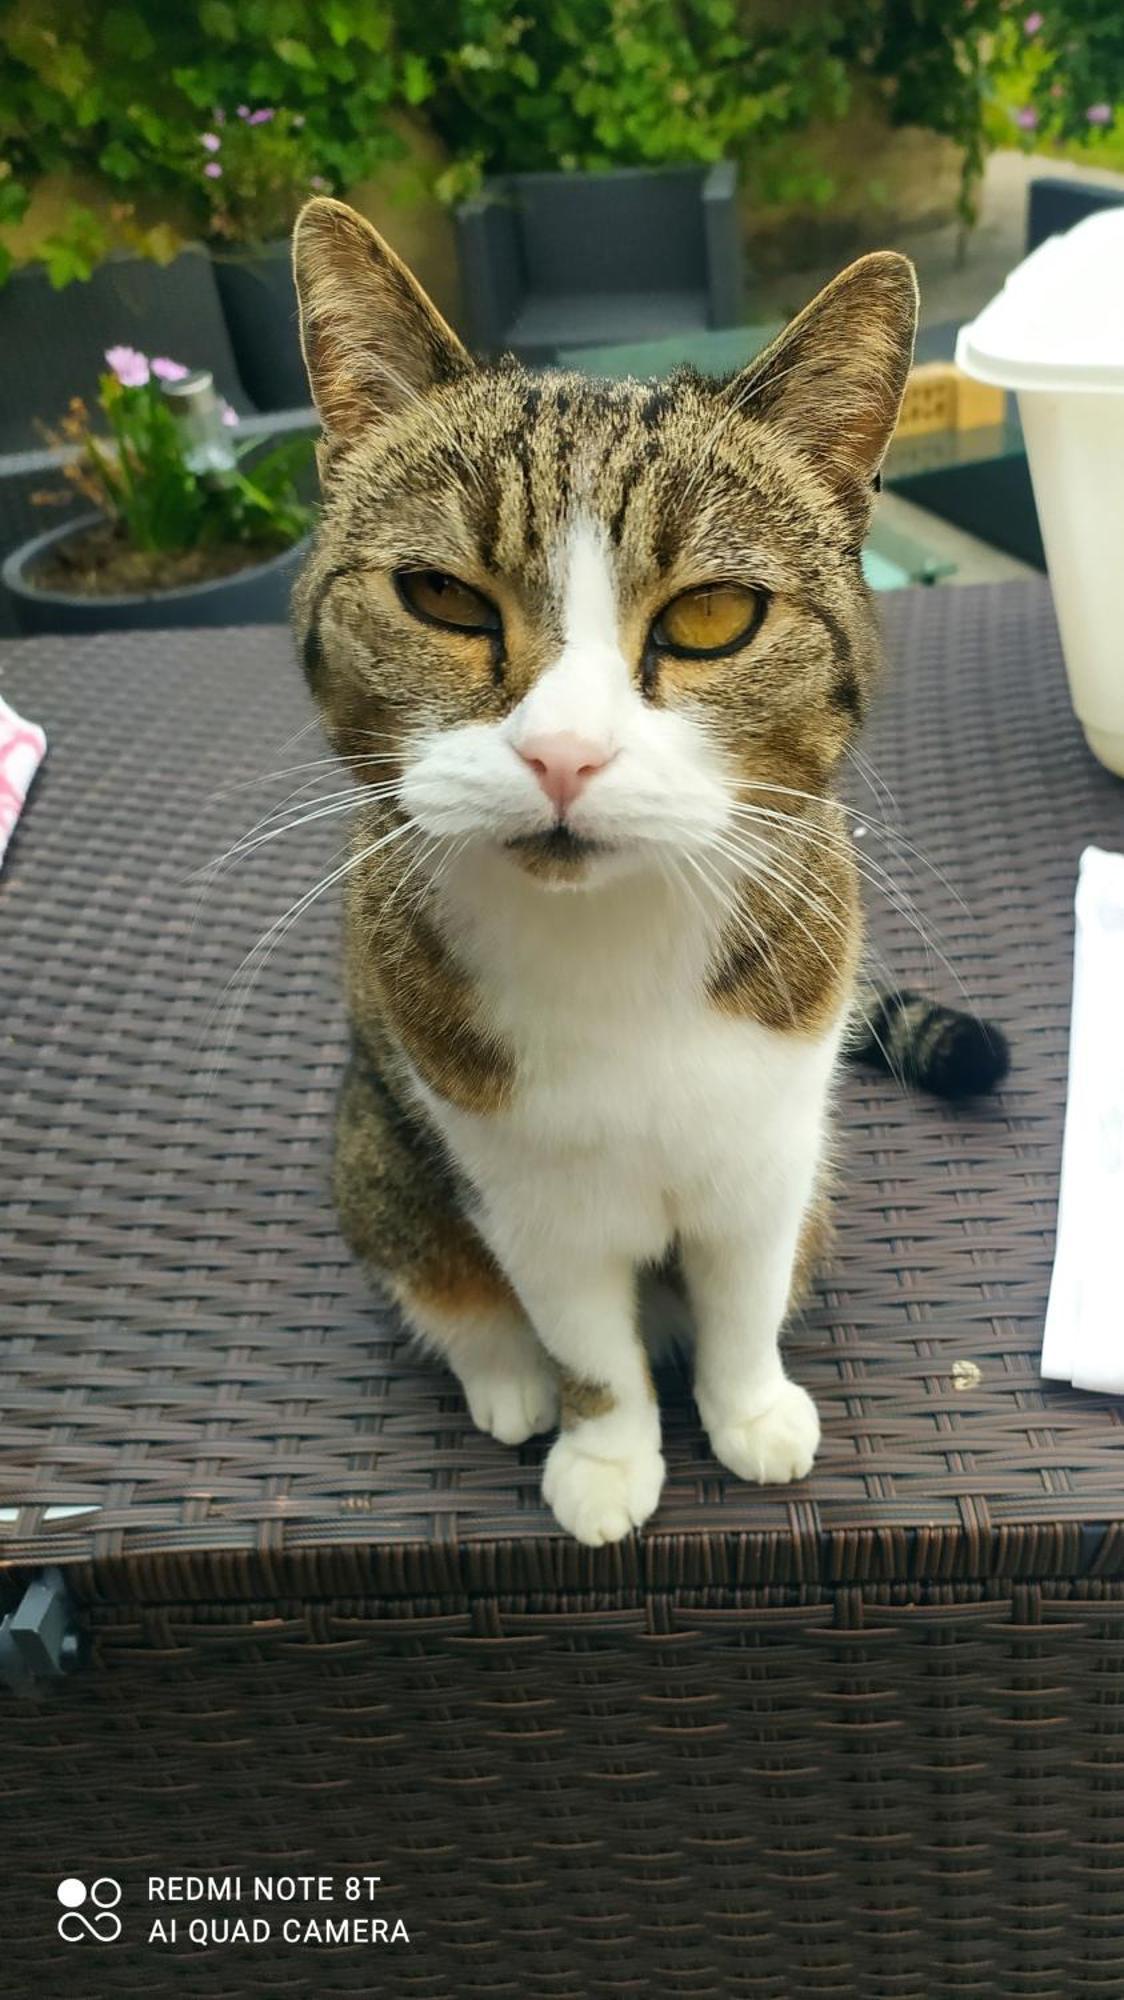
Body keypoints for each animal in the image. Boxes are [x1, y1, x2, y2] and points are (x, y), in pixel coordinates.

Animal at [294, 199, 1000, 1544]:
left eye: (714, 616)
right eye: (439, 596)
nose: (563, 753)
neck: (613, 944)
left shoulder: (771, 1155)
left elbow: (742, 1299)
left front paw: (748, 1410)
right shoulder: (527, 1199)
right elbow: (588, 1344)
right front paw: (607, 1453)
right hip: (377, 1156)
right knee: (437, 1274)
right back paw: (502, 1379)